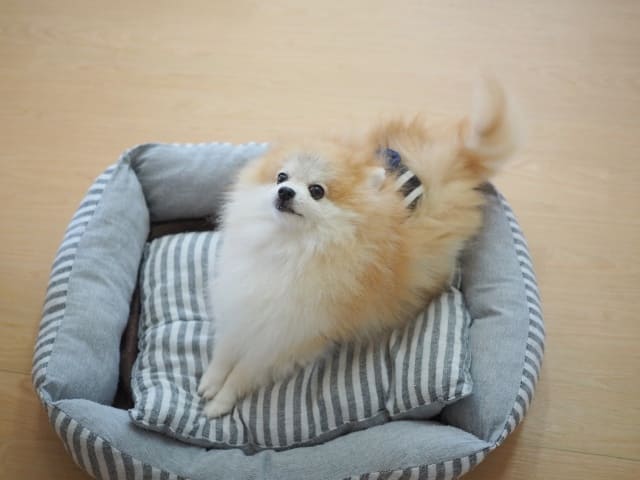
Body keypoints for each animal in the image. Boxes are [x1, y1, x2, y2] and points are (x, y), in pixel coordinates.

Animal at [198, 77, 521, 418]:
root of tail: (455, 158)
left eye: (316, 191)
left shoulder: (287, 335)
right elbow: (226, 347)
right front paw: (210, 381)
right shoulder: (241, 301)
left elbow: (244, 371)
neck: (288, 246)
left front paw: (220, 402)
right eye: (281, 177)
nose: (285, 192)